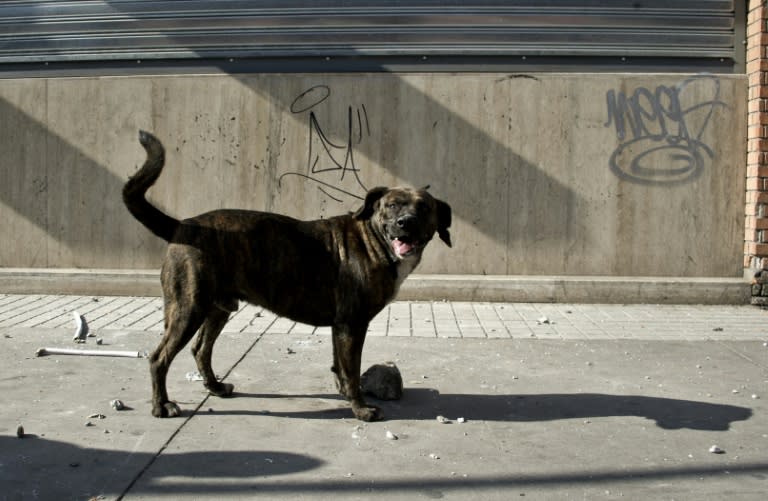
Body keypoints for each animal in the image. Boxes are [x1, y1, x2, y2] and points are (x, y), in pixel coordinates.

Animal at [123, 131, 452, 420]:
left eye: (424, 207)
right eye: (392, 205)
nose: (405, 222)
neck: (372, 238)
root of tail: (184, 226)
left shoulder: (341, 327)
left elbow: (341, 367)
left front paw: (345, 393)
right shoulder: (352, 324)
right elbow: (352, 369)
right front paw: (361, 409)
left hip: (217, 308)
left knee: (201, 349)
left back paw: (215, 387)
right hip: (188, 308)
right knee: (159, 357)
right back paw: (161, 406)